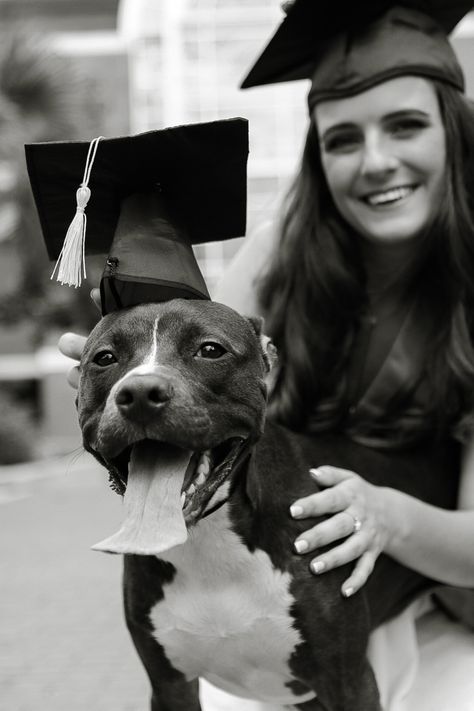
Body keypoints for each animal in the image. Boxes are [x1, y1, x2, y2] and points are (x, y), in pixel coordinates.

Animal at [78, 298, 460, 711]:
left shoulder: (349, 682)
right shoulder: (169, 686)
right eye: (104, 358)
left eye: (210, 349)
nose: (140, 392)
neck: (209, 542)